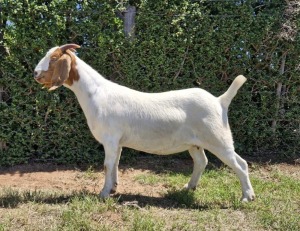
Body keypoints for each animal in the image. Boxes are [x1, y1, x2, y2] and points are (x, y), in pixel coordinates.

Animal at [34, 43, 255, 202]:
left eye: (54, 58)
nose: (36, 74)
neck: (96, 94)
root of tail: (220, 101)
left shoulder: (110, 139)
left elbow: (107, 165)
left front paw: (103, 194)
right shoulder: (118, 142)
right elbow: (115, 164)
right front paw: (113, 188)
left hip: (219, 139)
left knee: (240, 164)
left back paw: (247, 197)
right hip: (195, 143)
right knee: (202, 162)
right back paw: (189, 187)